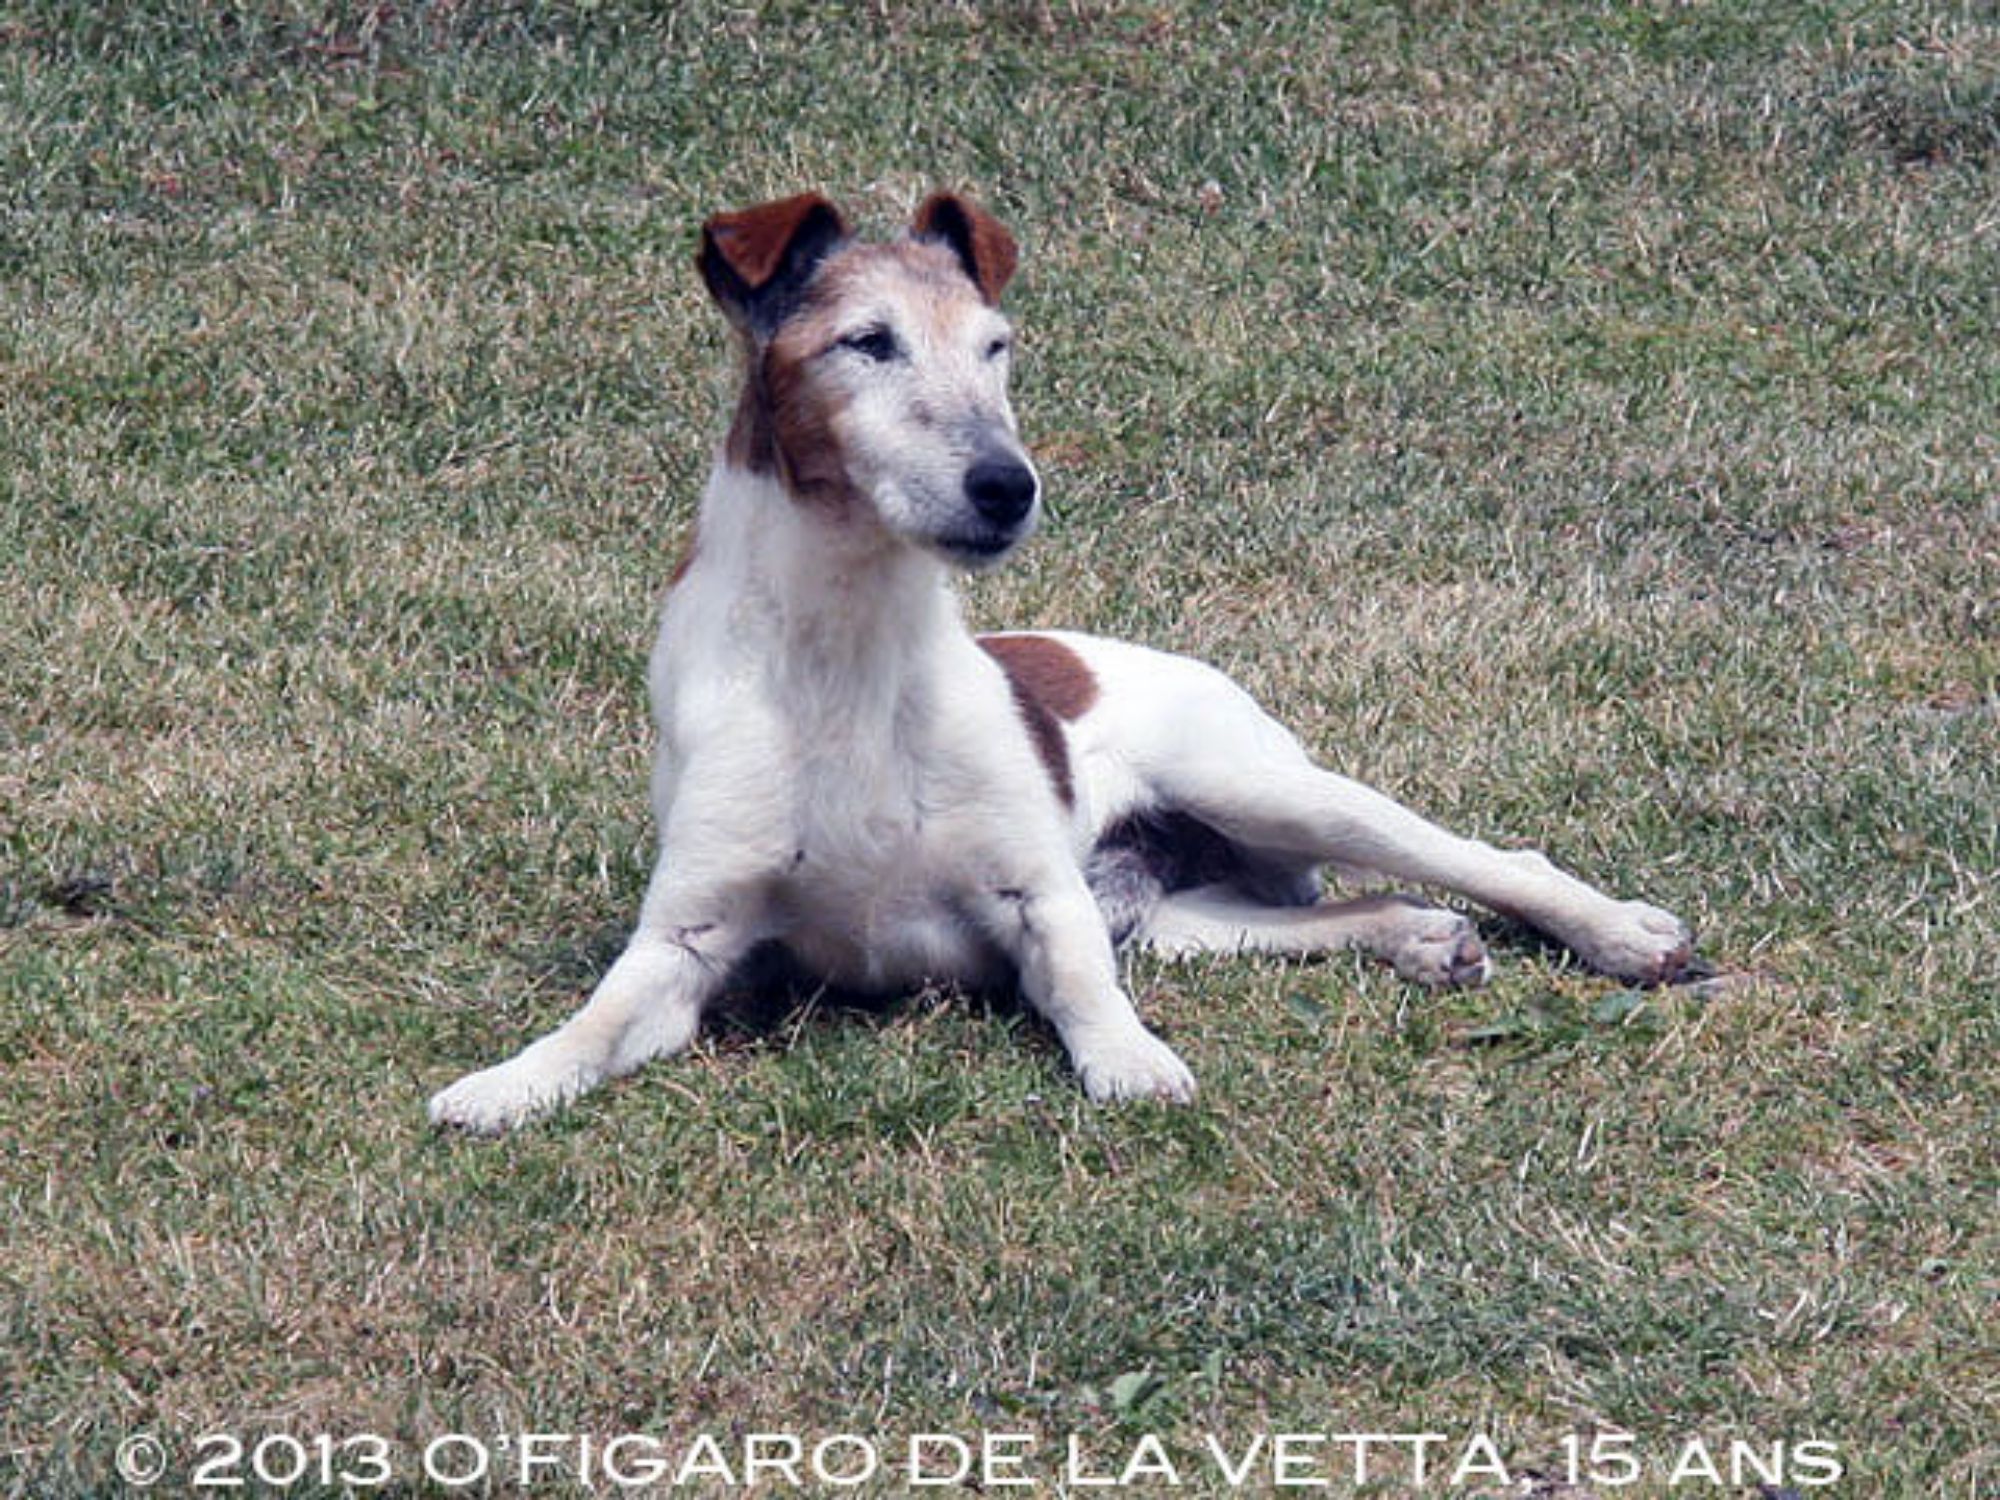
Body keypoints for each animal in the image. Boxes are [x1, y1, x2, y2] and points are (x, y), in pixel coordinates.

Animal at [429, 190, 1693, 1132]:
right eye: (866, 343)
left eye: (996, 347)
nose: (1007, 485)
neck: (847, 650)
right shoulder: (689, 941)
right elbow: (598, 1020)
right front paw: (506, 1084)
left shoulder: (1038, 899)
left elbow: (1084, 993)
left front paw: (1131, 1065)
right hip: (1169, 911)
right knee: (1295, 915)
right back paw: (1415, 935)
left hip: (1260, 790)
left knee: (1489, 856)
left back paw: (1619, 933)